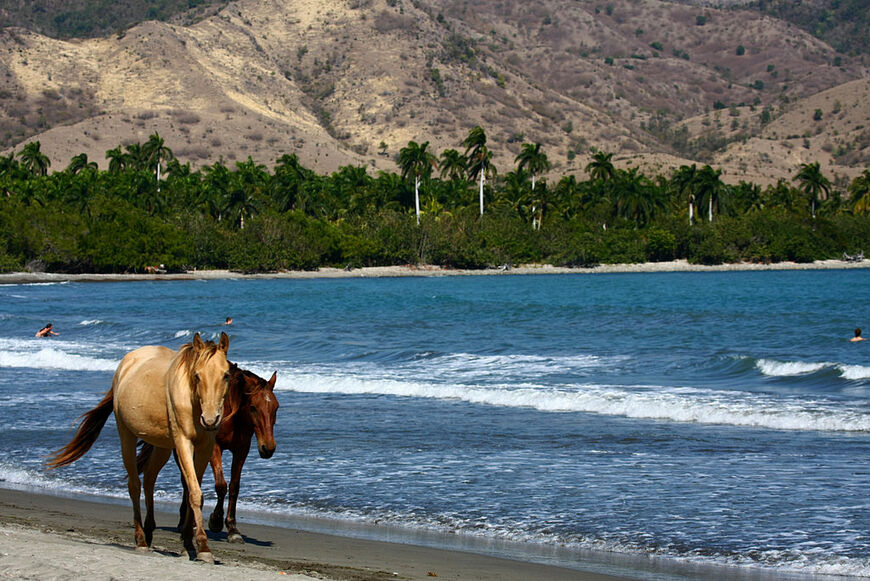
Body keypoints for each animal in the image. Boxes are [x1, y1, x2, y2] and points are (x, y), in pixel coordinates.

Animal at [47, 330, 230, 560]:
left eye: (226, 375)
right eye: (197, 375)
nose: (211, 419)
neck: (193, 401)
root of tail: (124, 365)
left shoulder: (205, 446)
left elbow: (191, 491)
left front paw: (188, 544)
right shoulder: (183, 443)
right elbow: (195, 493)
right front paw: (204, 548)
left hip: (162, 446)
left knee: (149, 479)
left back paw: (150, 531)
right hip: (127, 436)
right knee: (134, 485)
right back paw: (141, 539)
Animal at [139, 362, 280, 544]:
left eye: (276, 407)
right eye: (253, 407)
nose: (268, 448)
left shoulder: (242, 450)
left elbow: (234, 487)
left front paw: (233, 529)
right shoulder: (214, 448)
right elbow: (221, 485)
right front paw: (216, 520)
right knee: (186, 480)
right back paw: (186, 523)